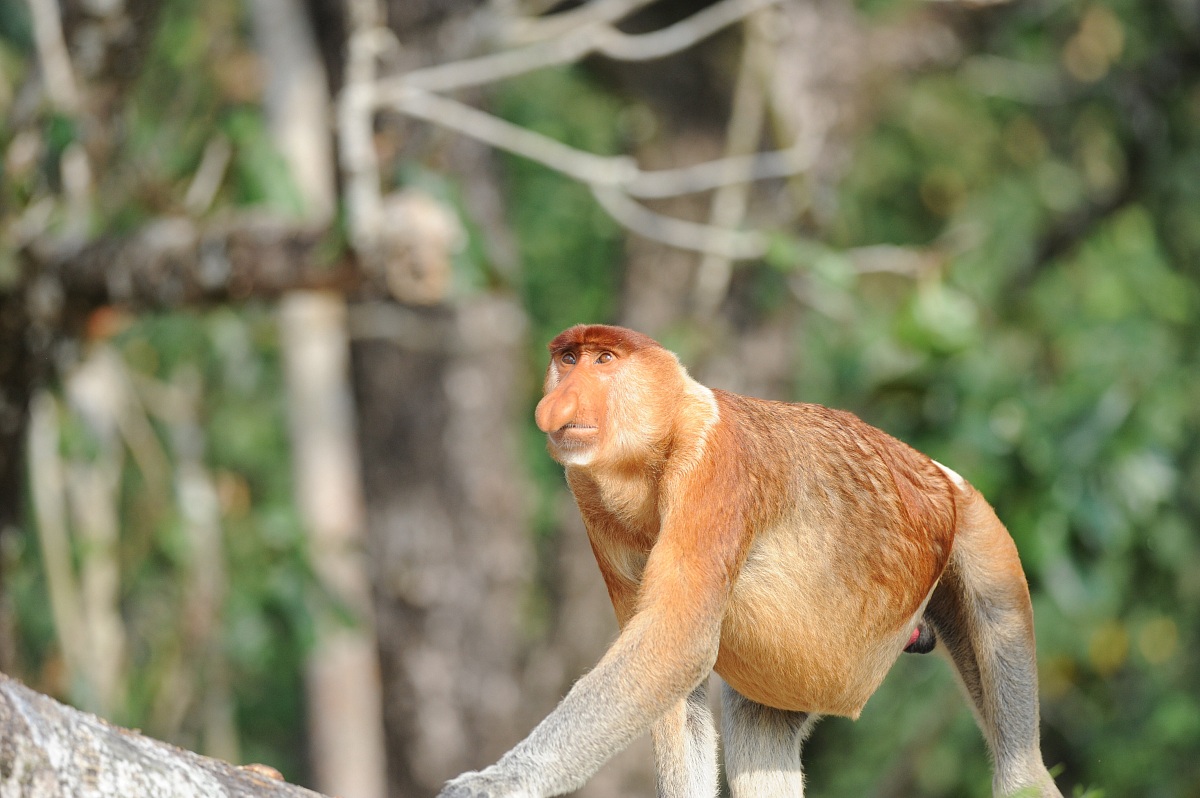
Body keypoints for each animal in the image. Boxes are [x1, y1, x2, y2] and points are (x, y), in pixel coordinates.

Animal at [438, 324, 1063, 798]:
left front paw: (492, 784)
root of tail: (944, 478)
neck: (661, 442)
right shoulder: (590, 497)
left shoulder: (716, 468)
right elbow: (674, 688)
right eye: (566, 360)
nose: (557, 401)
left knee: (1021, 771)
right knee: (760, 728)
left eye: (603, 360)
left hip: (984, 545)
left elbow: (675, 641)